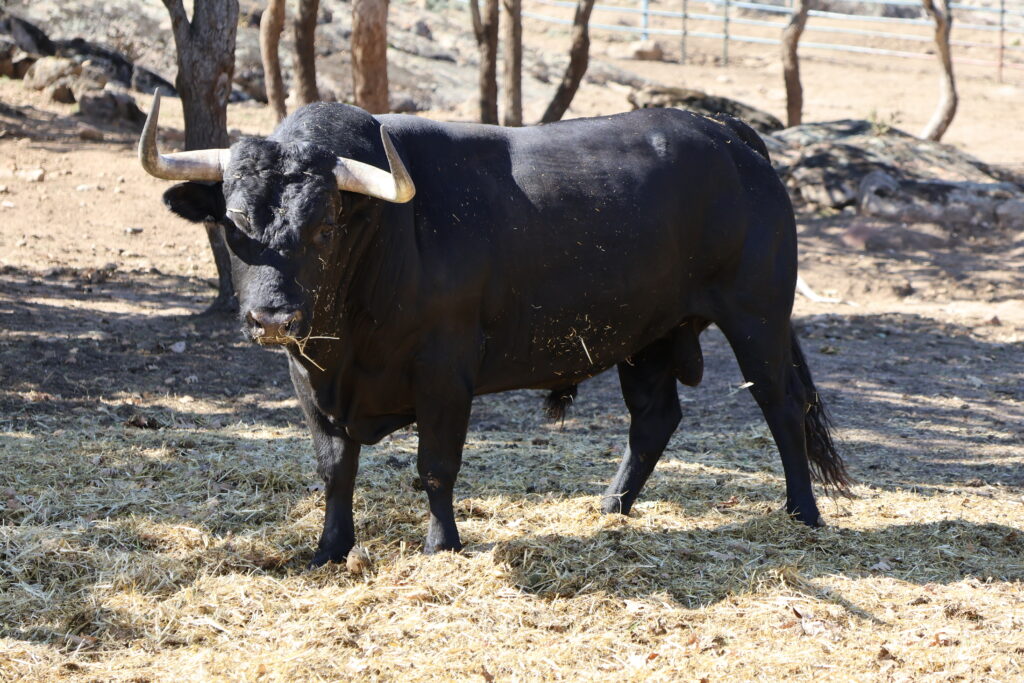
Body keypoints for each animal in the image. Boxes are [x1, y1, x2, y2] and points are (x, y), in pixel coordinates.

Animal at [139, 92, 848, 568]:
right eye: (234, 223)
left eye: (325, 227)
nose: (273, 317)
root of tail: (728, 133)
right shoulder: (309, 376)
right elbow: (334, 468)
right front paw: (329, 550)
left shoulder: (444, 371)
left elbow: (435, 466)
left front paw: (441, 545)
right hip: (647, 334)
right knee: (655, 418)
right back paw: (610, 509)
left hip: (757, 316)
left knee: (782, 404)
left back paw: (803, 513)